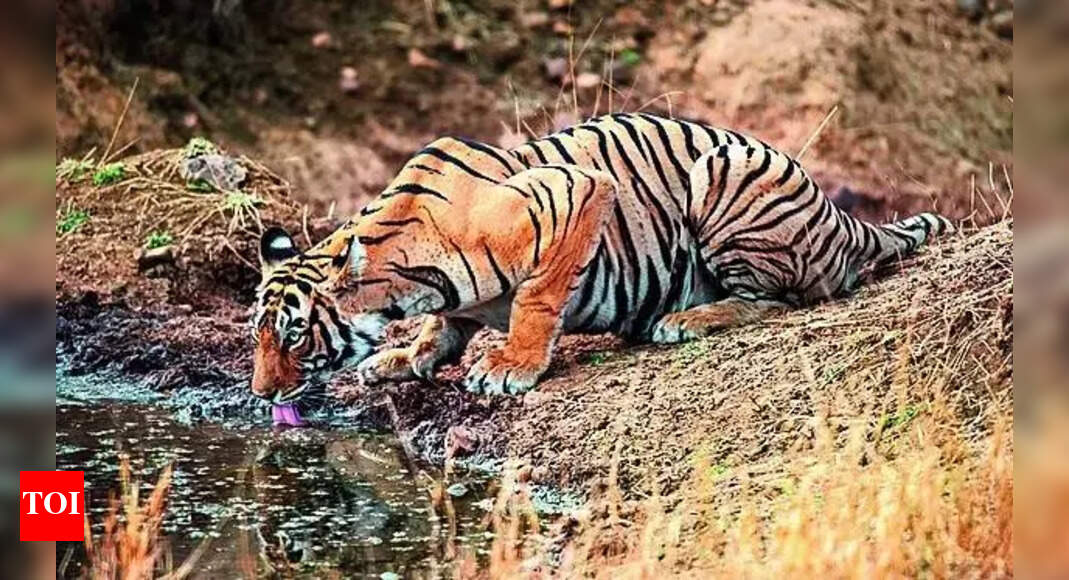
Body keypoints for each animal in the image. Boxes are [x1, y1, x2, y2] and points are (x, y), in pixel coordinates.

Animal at [250, 112, 951, 403]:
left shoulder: (577, 192)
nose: (261, 395)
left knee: (783, 299)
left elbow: (536, 299)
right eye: (257, 336)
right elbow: (440, 325)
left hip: (724, 171)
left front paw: (510, 367)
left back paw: (685, 320)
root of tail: (840, 214)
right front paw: (404, 358)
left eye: (294, 336)